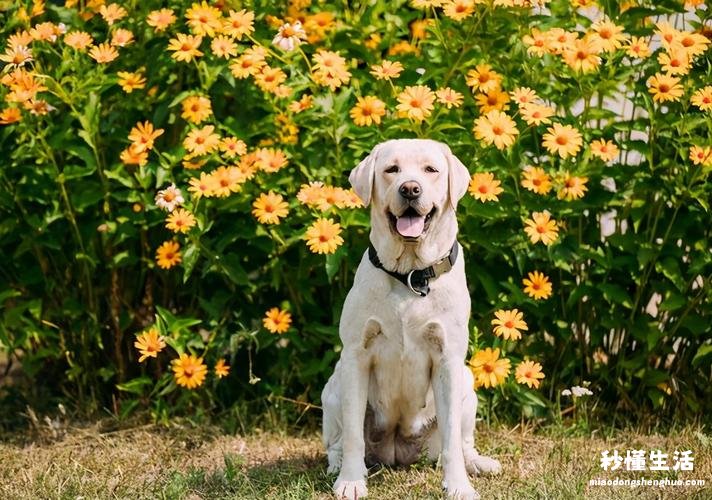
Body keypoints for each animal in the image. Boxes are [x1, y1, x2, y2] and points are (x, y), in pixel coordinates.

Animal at [322, 138, 500, 500]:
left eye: (431, 170)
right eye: (391, 169)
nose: (410, 189)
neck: (410, 275)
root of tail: (397, 450)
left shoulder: (447, 359)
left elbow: (451, 440)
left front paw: (458, 486)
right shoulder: (356, 355)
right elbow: (352, 435)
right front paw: (351, 481)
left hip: (467, 384)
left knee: (461, 442)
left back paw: (478, 464)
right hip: (333, 386)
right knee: (337, 441)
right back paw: (338, 466)